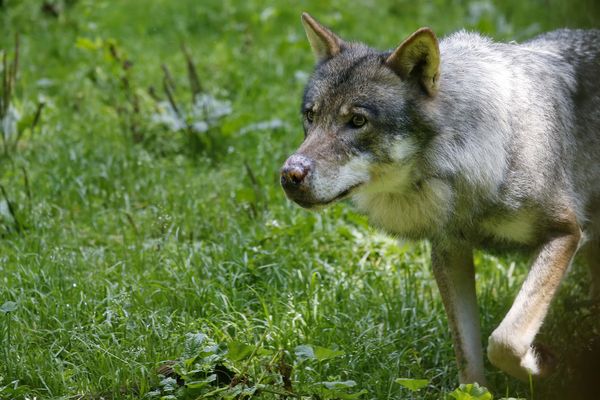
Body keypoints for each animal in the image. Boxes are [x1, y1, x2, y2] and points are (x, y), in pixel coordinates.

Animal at [280, 13, 600, 384]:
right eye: (311, 116)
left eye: (357, 121)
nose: (289, 175)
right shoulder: (450, 253)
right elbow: (469, 355)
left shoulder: (566, 232)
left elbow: (504, 341)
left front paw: (541, 364)